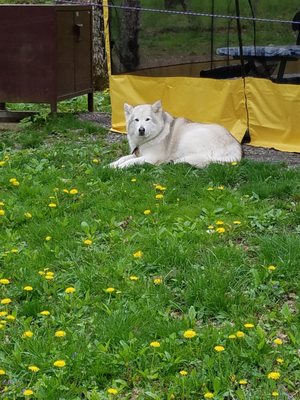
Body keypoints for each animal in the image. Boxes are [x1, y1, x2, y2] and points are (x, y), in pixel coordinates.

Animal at [109, 101, 243, 169]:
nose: (141, 130)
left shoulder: (150, 157)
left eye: (147, 119)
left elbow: (131, 162)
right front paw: (111, 165)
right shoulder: (137, 153)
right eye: (136, 120)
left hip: (189, 138)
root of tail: (236, 148)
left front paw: (120, 167)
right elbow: (123, 158)